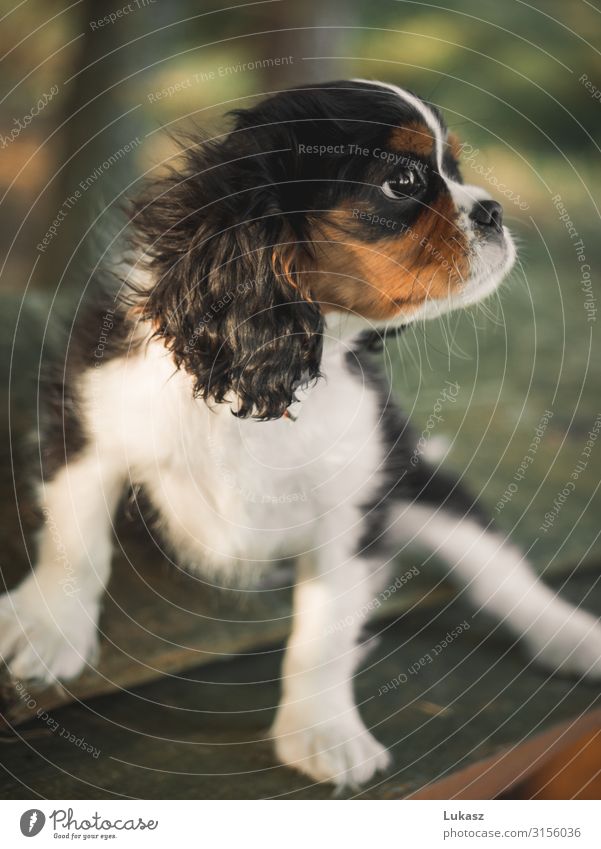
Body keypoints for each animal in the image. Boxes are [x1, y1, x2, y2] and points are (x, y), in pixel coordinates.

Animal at [1, 81, 600, 788]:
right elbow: (78, 534)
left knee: (502, 577)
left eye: (453, 168)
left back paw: (573, 637)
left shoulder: (353, 508)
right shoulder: (88, 415)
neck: (270, 372)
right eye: (402, 181)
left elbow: (325, 631)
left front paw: (324, 731)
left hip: (420, 484)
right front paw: (48, 630)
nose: (494, 211)